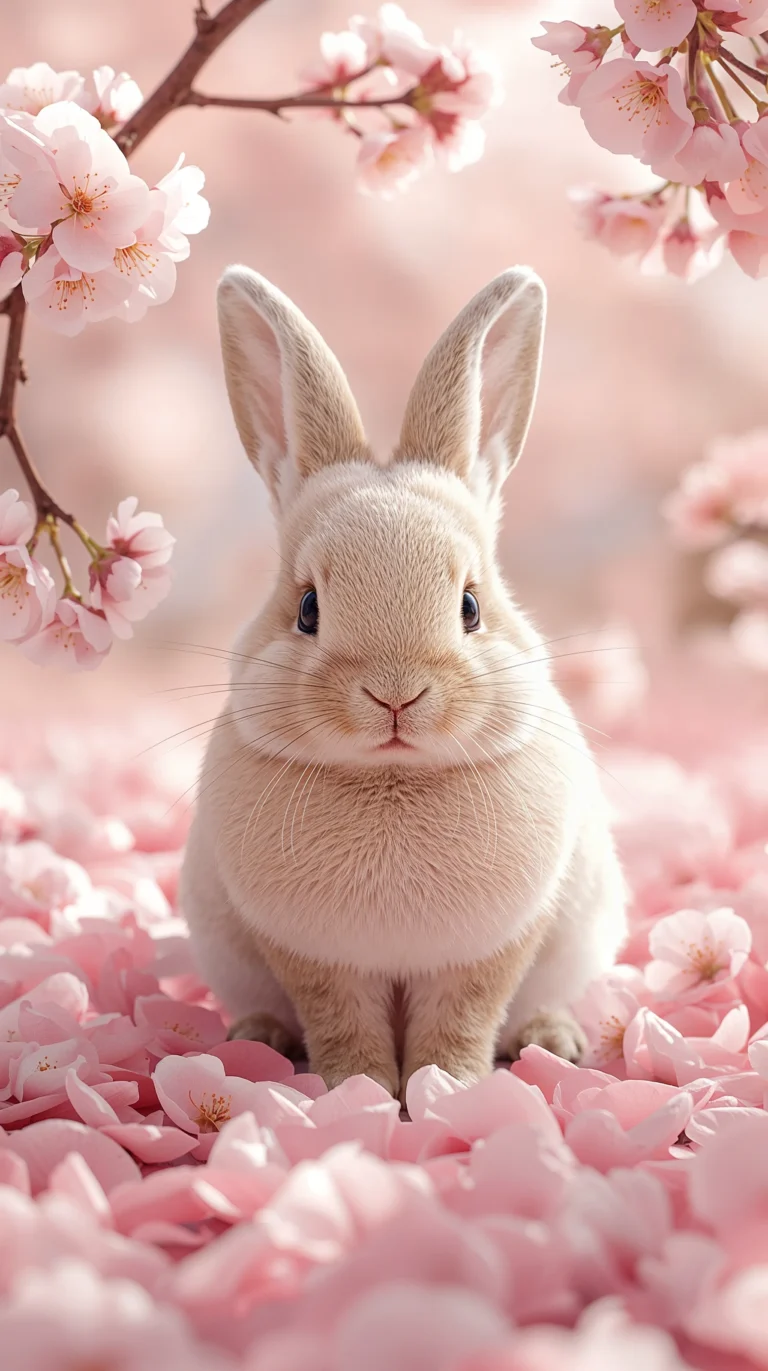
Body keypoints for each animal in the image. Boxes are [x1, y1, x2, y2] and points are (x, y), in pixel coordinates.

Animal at [180, 263, 628, 1103]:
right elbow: (342, 1023)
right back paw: (258, 1037)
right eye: (308, 608)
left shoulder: (488, 952)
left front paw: (445, 1087)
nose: (395, 695)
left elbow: (461, 1019)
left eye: (471, 606)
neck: (393, 777)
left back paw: (553, 1039)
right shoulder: (316, 959)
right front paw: (360, 1090)